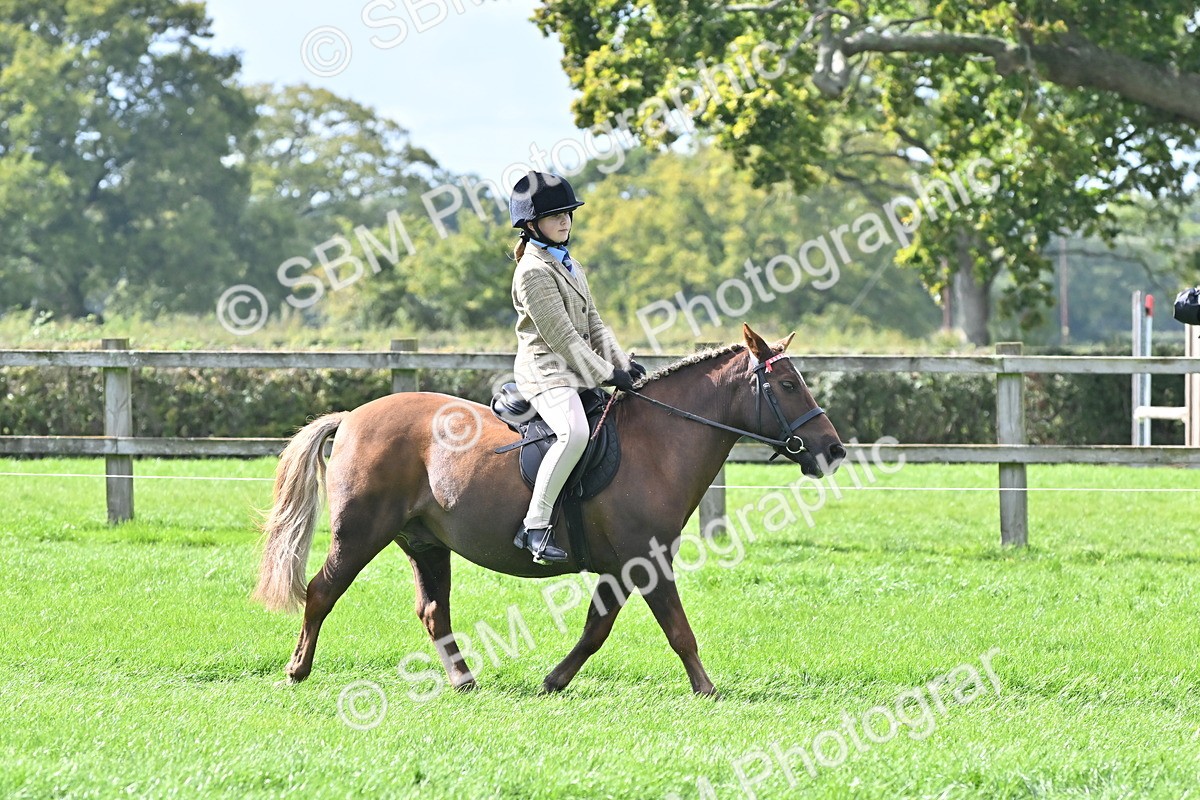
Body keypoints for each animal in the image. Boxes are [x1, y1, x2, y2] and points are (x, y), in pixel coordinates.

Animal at [253, 323, 844, 696]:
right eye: (787, 384)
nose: (833, 450)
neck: (658, 442)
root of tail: (352, 416)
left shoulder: (621, 567)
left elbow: (595, 629)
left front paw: (554, 681)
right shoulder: (647, 561)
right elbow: (678, 629)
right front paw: (707, 689)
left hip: (425, 543)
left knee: (433, 611)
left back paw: (464, 681)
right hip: (359, 534)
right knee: (321, 591)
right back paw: (297, 670)